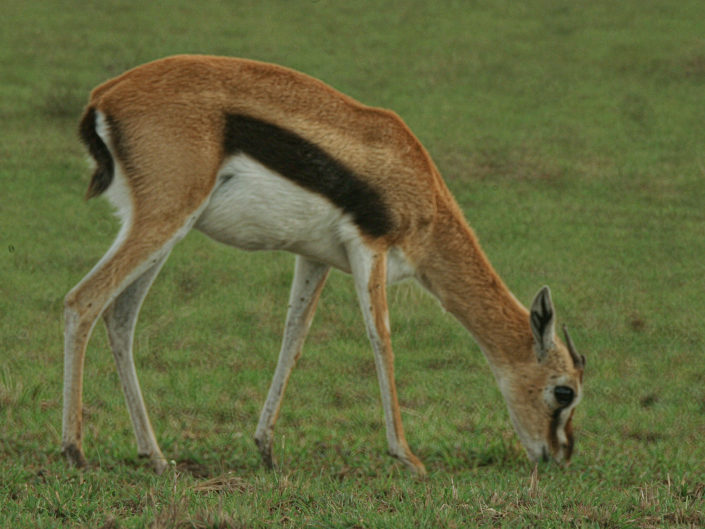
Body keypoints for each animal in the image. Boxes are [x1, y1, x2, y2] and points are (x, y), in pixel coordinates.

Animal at [63, 55, 585, 476]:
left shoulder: (315, 257)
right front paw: (408, 458)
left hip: (159, 229)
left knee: (120, 316)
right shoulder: (369, 249)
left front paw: (266, 448)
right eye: (565, 391)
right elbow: (382, 341)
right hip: (165, 219)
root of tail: (104, 96)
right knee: (81, 302)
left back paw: (155, 456)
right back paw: (75, 452)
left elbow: (293, 338)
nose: (561, 455)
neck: (419, 188)